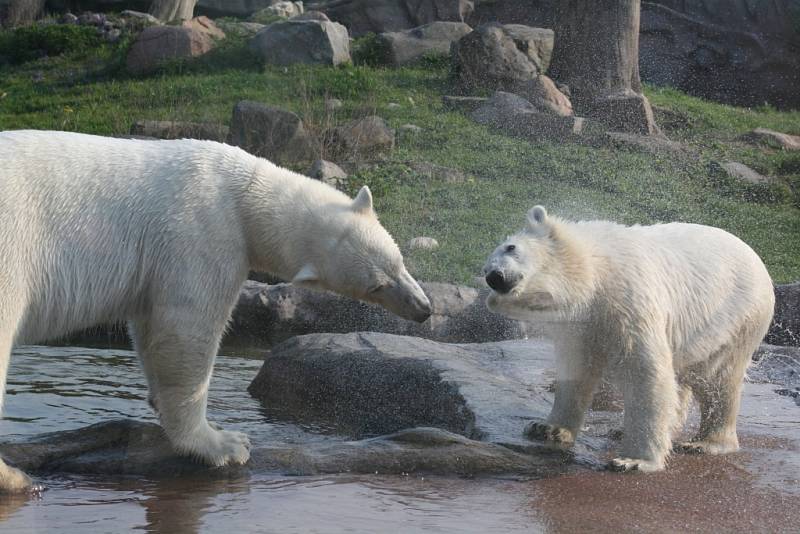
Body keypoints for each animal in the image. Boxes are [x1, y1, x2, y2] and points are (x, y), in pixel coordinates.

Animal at [0, 131, 432, 494]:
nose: (423, 310)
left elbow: (149, 326)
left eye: (398, 262)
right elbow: (186, 329)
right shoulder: (203, 233)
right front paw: (225, 443)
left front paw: (157, 401)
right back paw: (18, 479)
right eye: (377, 286)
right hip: (12, 249)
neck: (244, 193)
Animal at [482, 205, 776, 474]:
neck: (596, 272)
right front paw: (547, 428)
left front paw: (634, 460)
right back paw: (626, 429)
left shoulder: (628, 301)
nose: (494, 276)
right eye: (485, 268)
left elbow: (646, 373)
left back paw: (706, 443)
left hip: (732, 317)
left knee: (716, 377)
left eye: (510, 247)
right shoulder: (580, 325)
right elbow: (576, 371)